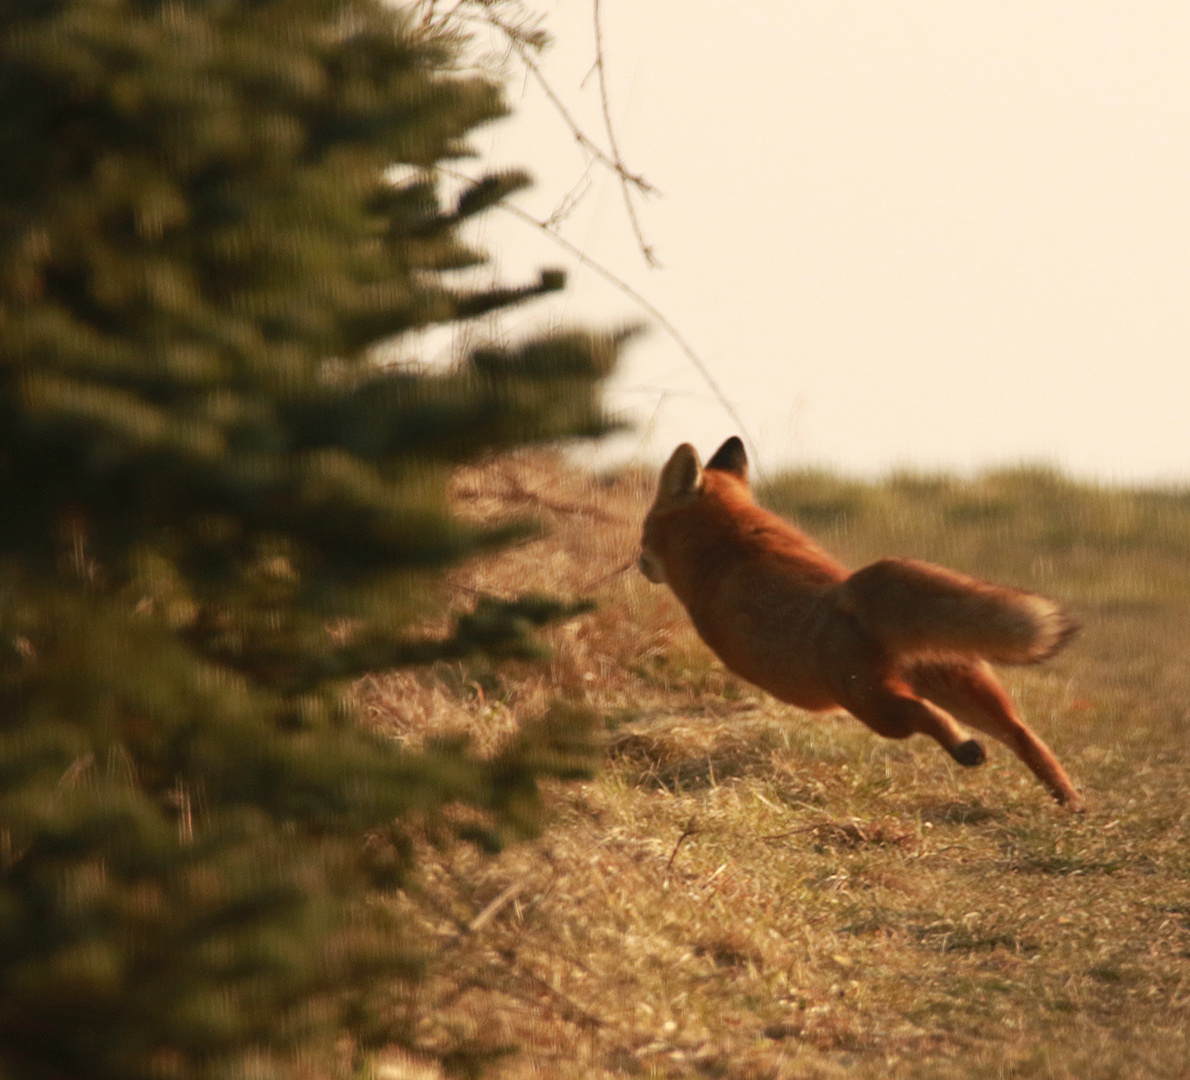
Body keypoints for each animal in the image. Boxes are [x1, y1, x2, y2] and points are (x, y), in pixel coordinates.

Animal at [642, 435, 1090, 804]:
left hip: (873, 706)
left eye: (644, 531)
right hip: (963, 687)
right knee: (1022, 733)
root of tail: (850, 592)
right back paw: (1069, 799)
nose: (640, 562)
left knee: (927, 715)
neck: (726, 538)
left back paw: (967, 750)